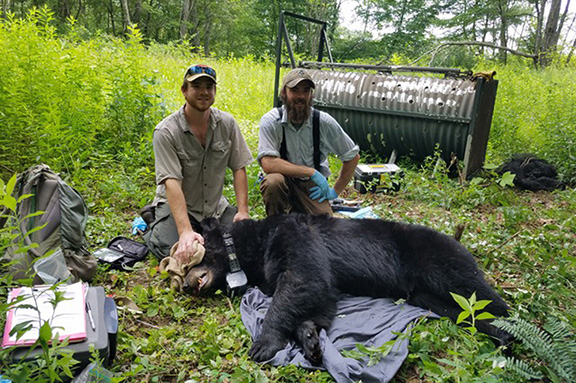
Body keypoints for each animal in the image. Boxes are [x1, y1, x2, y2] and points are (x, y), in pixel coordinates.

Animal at [184, 214, 508, 364]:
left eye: (195, 253)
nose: (186, 284)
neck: (254, 245)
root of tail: (460, 241)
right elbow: (320, 297)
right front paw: (310, 337)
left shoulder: (296, 235)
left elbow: (304, 278)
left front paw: (263, 344)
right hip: (427, 296)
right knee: (464, 310)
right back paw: (498, 334)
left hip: (437, 260)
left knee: (477, 292)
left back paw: (509, 329)